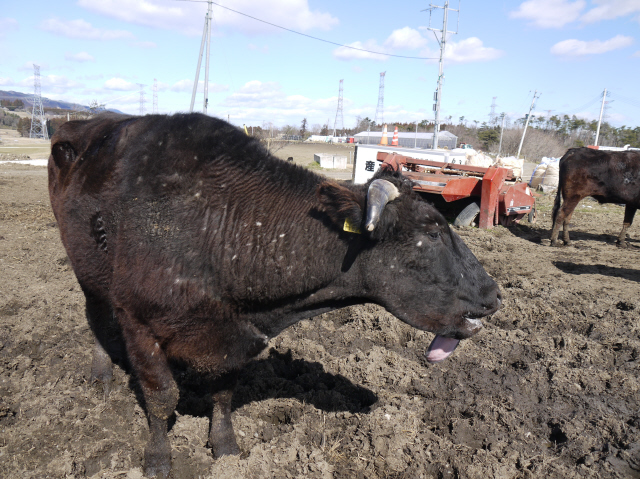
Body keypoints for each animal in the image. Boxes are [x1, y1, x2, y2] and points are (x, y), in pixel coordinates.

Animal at [48, 113, 500, 479]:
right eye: (432, 231)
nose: (495, 294)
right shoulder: (139, 321)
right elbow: (162, 398)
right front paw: (158, 458)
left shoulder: (235, 334)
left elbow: (223, 394)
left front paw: (226, 450)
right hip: (86, 270)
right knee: (96, 315)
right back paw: (101, 373)